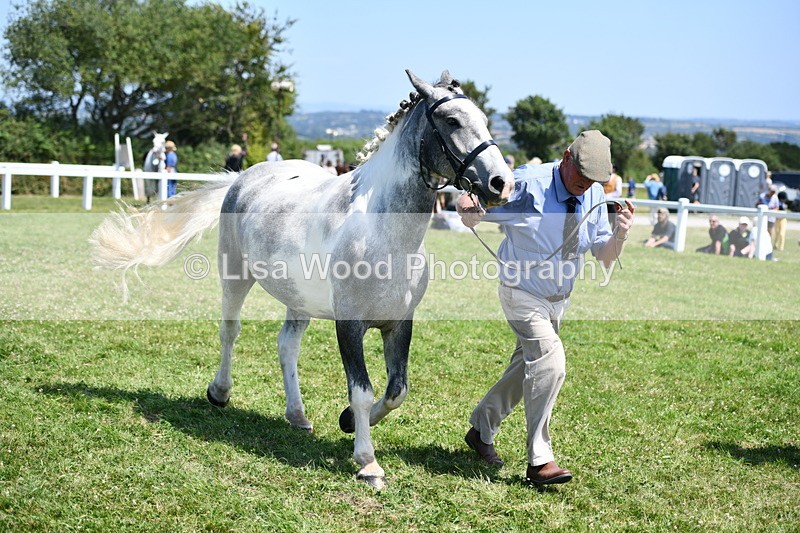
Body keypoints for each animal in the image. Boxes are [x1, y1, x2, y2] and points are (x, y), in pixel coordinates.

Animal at [90, 70, 514, 489]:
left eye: (485, 120)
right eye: (452, 121)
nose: (501, 183)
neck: (381, 232)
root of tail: (243, 177)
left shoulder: (399, 323)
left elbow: (397, 391)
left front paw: (347, 421)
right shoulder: (349, 325)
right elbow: (362, 391)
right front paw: (367, 463)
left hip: (299, 299)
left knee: (286, 346)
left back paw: (296, 415)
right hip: (235, 275)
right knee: (230, 331)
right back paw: (220, 392)